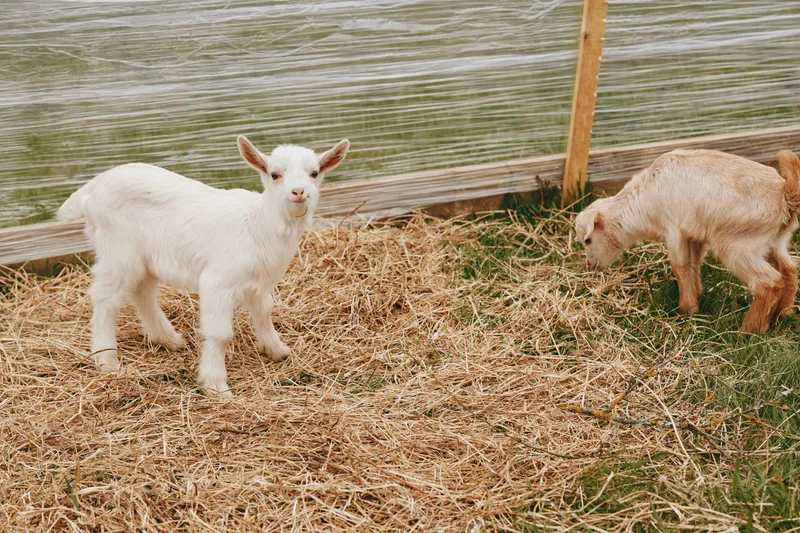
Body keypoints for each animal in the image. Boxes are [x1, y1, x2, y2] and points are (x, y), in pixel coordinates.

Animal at [57, 135, 350, 396]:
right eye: (274, 174)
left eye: (314, 173)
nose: (299, 192)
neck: (259, 224)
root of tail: (91, 189)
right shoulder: (217, 281)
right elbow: (220, 334)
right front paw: (215, 385)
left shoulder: (259, 281)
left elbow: (265, 312)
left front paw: (277, 350)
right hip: (118, 249)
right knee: (105, 298)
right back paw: (107, 361)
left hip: (145, 256)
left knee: (143, 291)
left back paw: (168, 339)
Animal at [575, 149, 800, 333]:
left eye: (587, 240)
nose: (590, 265)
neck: (643, 198)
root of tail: (786, 194)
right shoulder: (693, 234)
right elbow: (694, 263)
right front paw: (696, 297)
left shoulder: (673, 230)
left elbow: (680, 266)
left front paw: (686, 310)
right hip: (774, 242)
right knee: (789, 269)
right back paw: (783, 314)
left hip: (737, 246)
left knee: (768, 282)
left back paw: (749, 330)